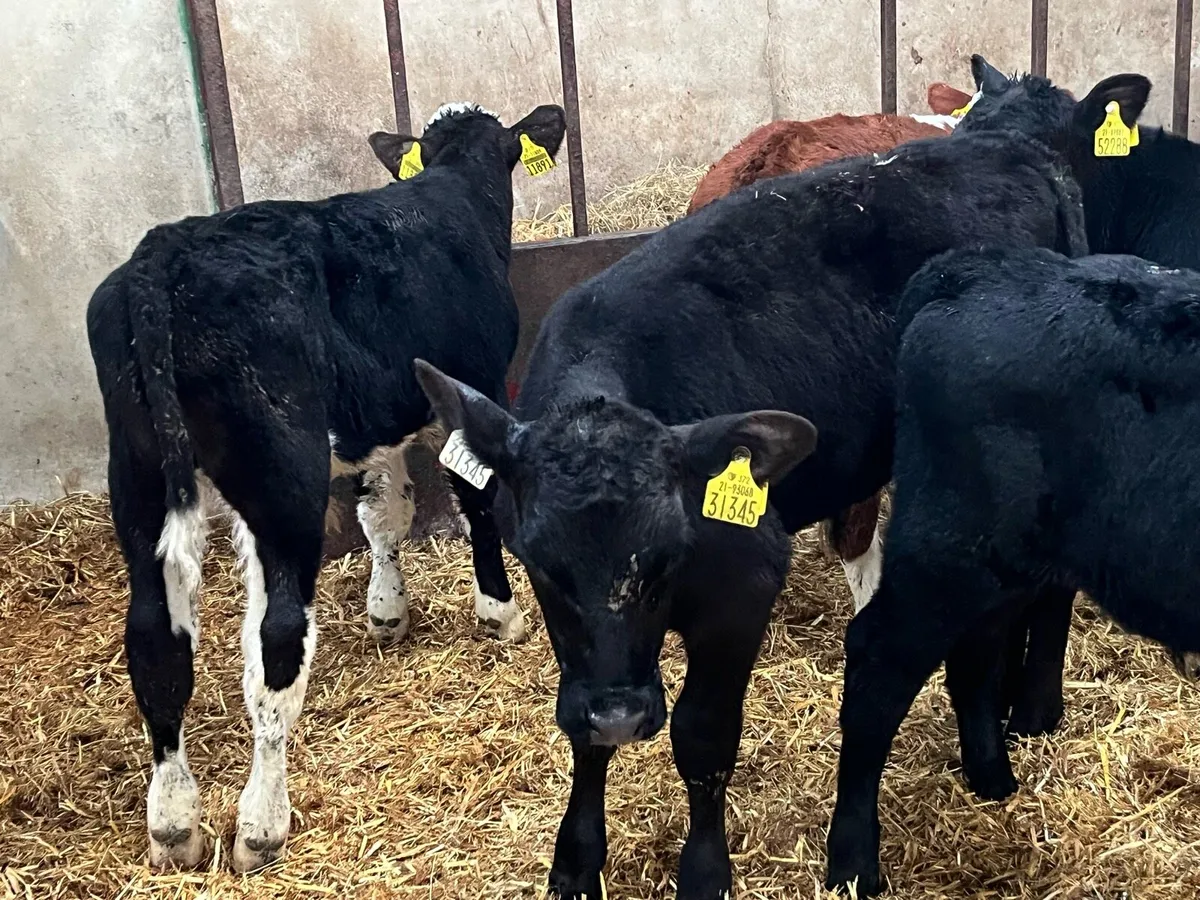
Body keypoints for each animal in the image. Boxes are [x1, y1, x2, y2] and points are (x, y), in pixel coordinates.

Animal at [85, 101, 566, 872]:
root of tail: (166, 252)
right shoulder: (474, 384)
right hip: (283, 481)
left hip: (136, 478)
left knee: (155, 639)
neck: (456, 188)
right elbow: (476, 501)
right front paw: (499, 613)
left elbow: (384, 513)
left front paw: (388, 612)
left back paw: (174, 823)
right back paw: (261, 824)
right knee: (277, 642)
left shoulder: (376, 420)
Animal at [826, 245, 1200, 896]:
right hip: (950, 550)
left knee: (975, 655)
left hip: (1004, 564)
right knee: (879, 661)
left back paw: (992, 778)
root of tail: (979, 270)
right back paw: (852, 863)